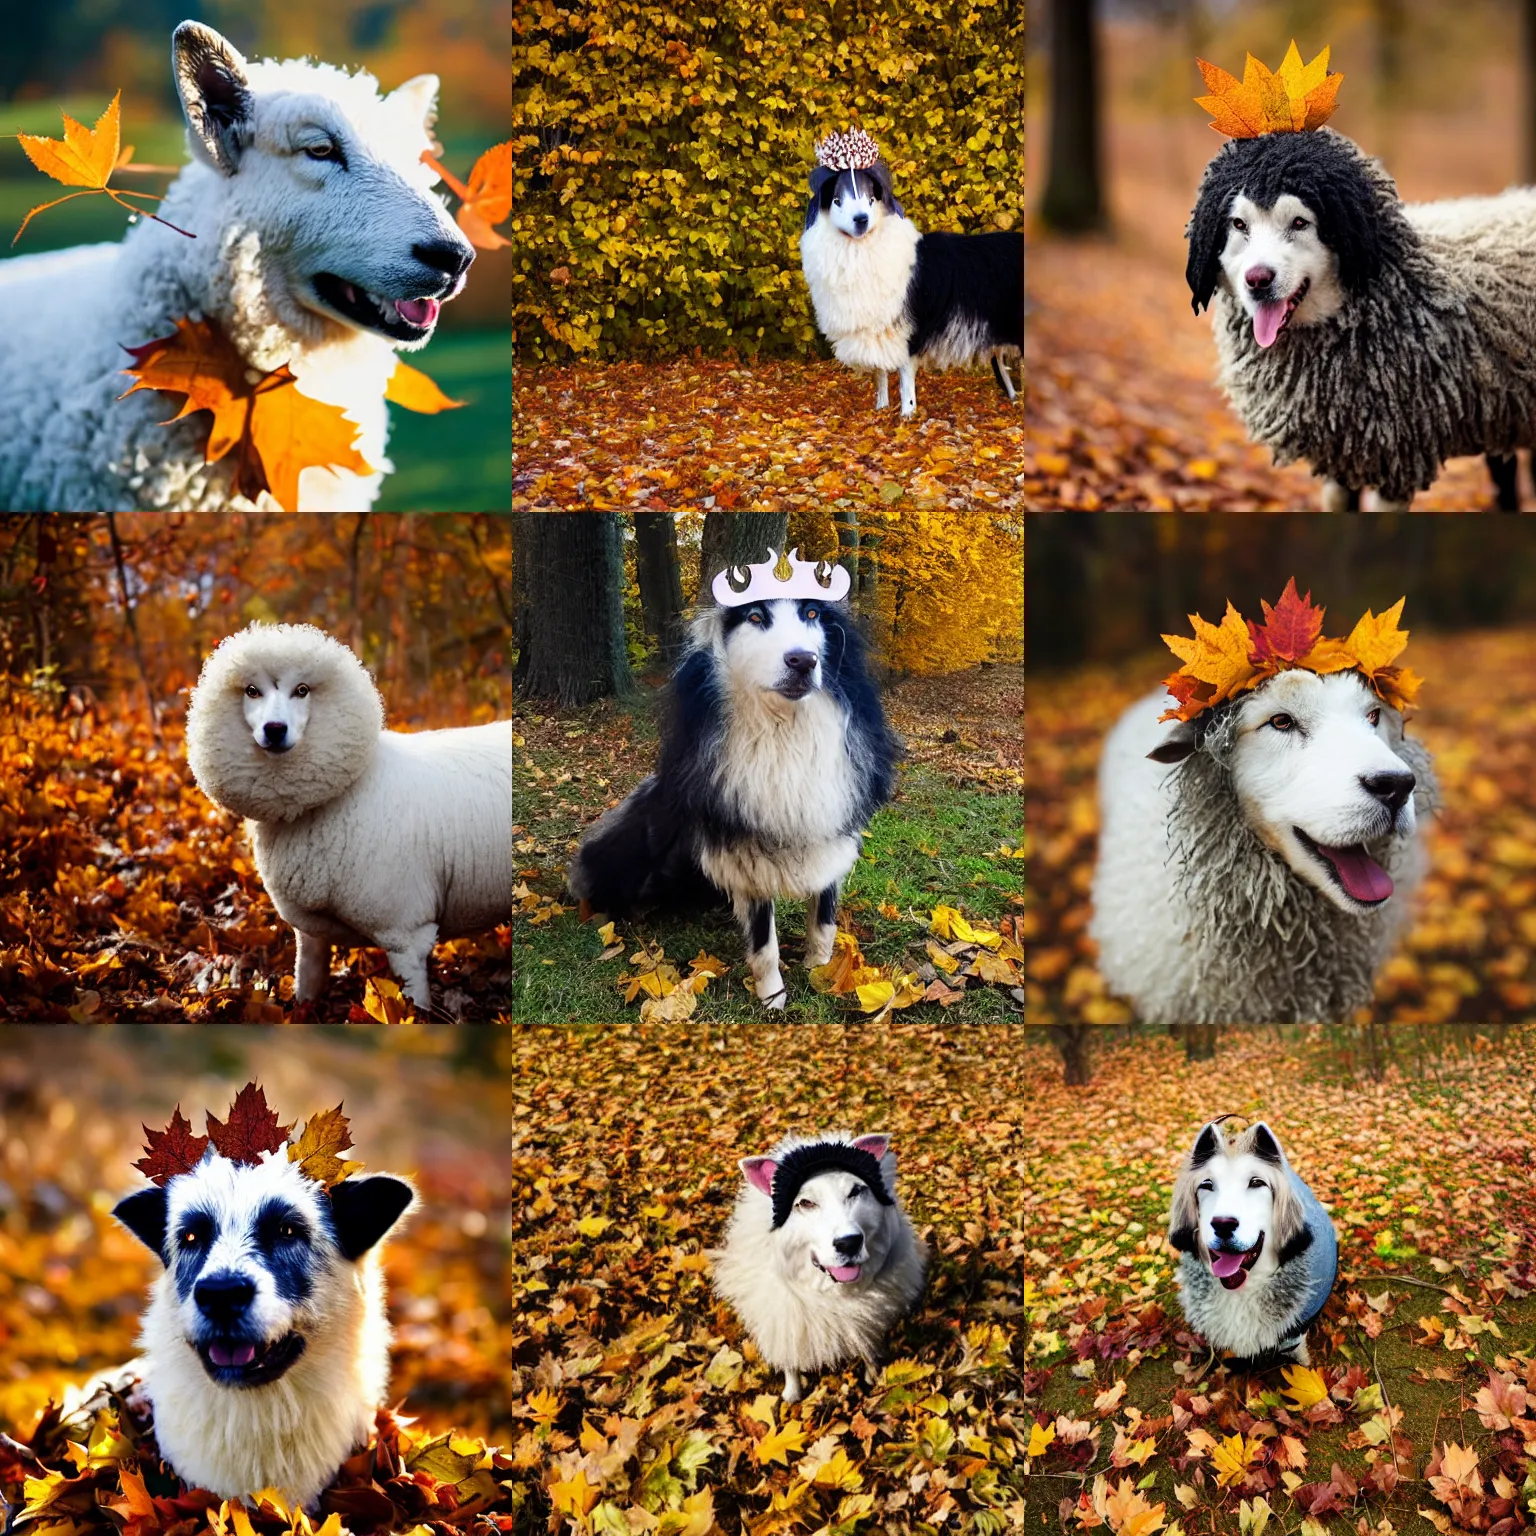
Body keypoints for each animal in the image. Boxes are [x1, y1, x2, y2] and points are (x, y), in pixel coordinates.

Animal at [185, 620, 509, 1007]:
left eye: (302, 690)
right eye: (252, 691)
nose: (275, 730)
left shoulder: (404, 927)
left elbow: (414, 1003)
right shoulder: (310, 931)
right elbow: (306, 982)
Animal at [709, 1130, 921, 1406]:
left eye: (856, 1191)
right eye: (805, 1203)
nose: (849, 1242)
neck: (831, 1292)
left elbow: (867, 1348)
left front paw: (873, 1377)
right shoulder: (785, 1319)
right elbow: (790, 1359)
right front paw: (792, 1393)